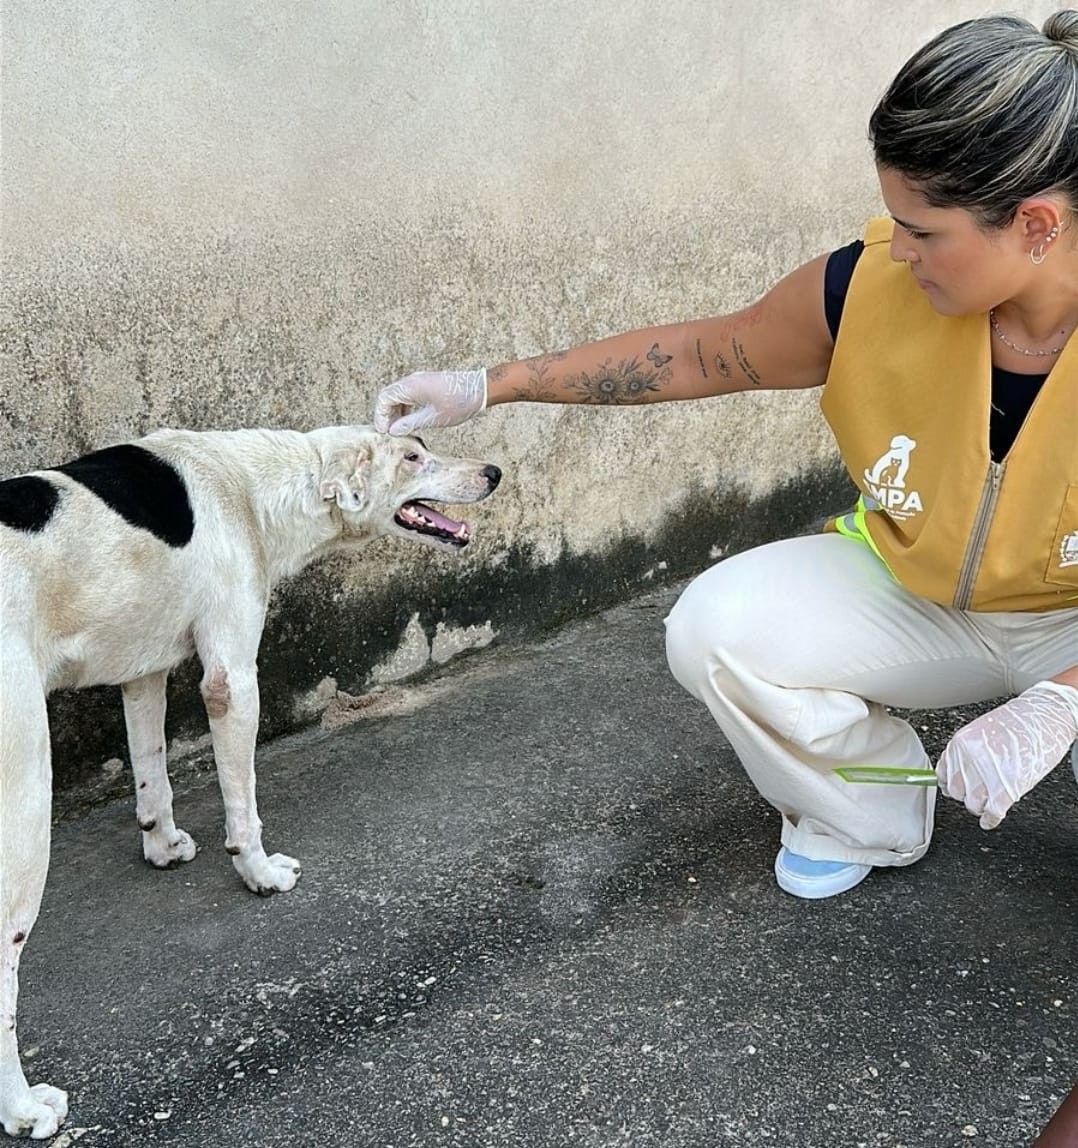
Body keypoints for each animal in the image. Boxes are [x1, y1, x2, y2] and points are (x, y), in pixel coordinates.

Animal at [0, 424, 502, 1138]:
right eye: (412, 457)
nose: (492, 473)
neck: (254, 485)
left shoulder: (143, 671)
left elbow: (152, 772)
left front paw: (163, 846)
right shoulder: (232, 680)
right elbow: (243, 805)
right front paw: (258, 872)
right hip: (25, 805)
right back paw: (22, 1109)